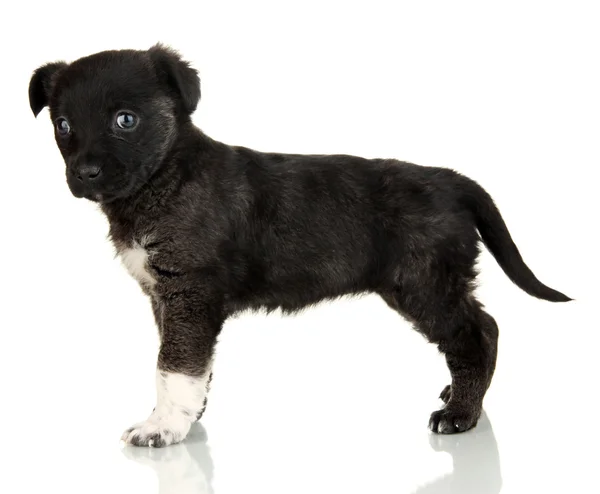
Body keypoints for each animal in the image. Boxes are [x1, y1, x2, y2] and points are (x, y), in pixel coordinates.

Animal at [29, 45, 572, 448]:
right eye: (63, 125)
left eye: (125, 120)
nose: (84, 174)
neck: (165, 176)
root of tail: (452, 181)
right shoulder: (167, 298)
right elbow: (190, 362)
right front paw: (188, 412)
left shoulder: (189, 293)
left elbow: (173, 364)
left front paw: (162, 426)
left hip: (425, 283)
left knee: (479, 332)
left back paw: (461, 412)